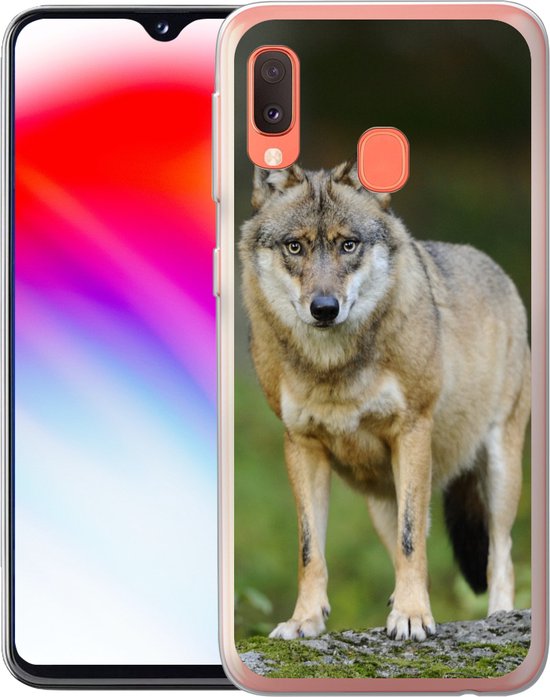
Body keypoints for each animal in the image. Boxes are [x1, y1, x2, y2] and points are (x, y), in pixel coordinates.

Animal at [239, 161, 531, 641]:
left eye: (349, 244)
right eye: (295, 246)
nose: (324, 308)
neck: (333, 369)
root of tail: (494, 266)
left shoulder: (412, 430)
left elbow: (413, 542)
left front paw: (412, 617)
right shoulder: (300, 445)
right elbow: (310, 550)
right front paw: (305, 619)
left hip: (499, 473)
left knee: (500, 556)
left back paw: (496, 618)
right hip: (381, 500)